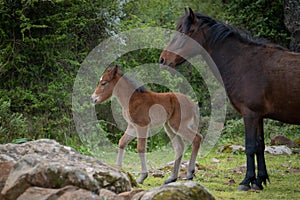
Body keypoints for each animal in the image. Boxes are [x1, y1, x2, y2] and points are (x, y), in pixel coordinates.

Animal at [159, 7, 300, 190]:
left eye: (183, 33)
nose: (163, 59)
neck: (243, 63)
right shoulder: (259, 116)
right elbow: (260, 146)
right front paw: (259, 181)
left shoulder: (250, 114)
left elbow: (250, 147)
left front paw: (247, 181)